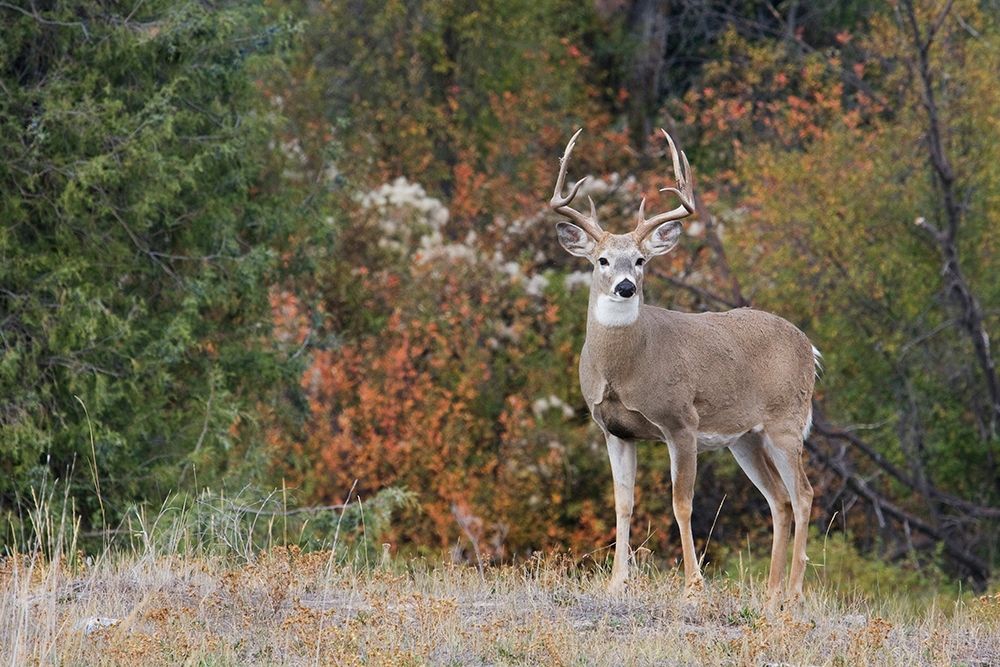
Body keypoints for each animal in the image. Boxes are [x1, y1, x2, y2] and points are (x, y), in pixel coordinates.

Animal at [551, 128, 818, 607]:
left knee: (803, 494)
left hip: (785, 421)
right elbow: (623, 502)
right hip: (744, 437)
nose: (625, 286)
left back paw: (792, 593)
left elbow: (682, 503)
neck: (627, 368)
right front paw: (616, 582)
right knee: (779, 499)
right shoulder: (614, 429)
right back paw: (770, 593)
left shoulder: (681, 421)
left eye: (641, 260)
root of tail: (809, 346)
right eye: (602, 260)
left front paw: (693, 585)